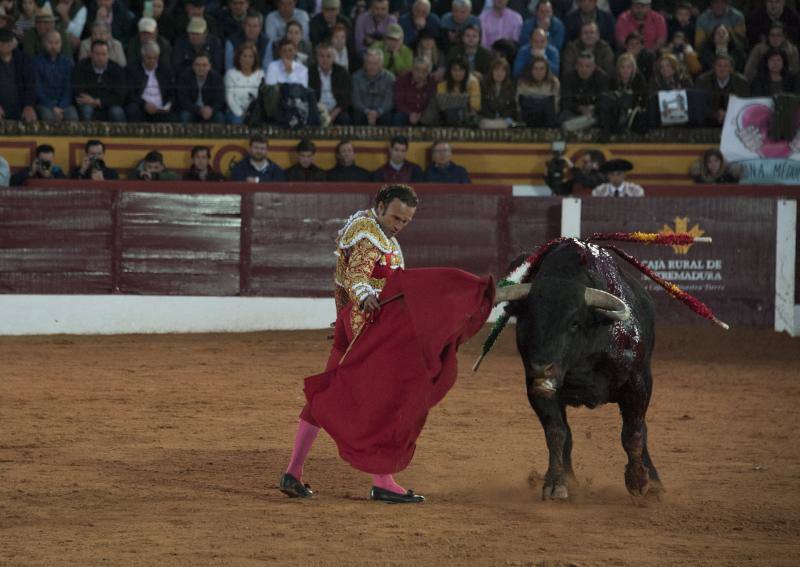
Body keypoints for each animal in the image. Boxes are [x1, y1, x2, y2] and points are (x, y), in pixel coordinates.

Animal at [506, 241, 664, 502]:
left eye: (574, 323)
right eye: (529, 320)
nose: (541, 367)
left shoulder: (638, 383)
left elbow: (633, 432)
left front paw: (639, 480)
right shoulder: (537, 389)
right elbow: (557, 433)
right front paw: (556, 482)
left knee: (642, 428)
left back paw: (654, 481)